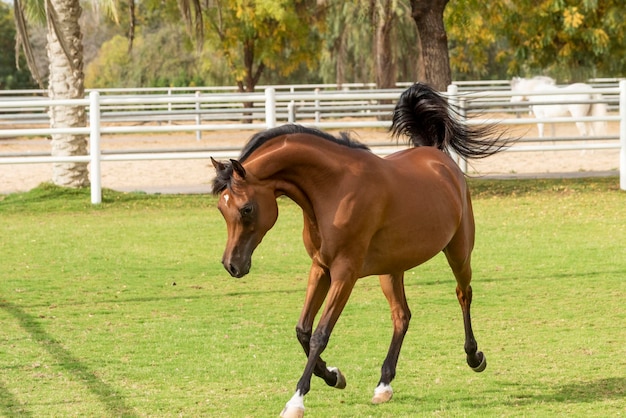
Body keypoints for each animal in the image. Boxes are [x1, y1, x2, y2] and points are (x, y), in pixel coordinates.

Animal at [212, 82, 510, 418]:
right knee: (401, 316)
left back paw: (474, 357)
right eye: (221, 209)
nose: (232, 265)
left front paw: (297, 399)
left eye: (246, 209)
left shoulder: (345, 273)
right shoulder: (321, 268)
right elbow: (303, 329)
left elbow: (320, 334)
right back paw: (384, 385)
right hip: (391, 270)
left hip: (458, 252)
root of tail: (436, 156)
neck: (335, 188)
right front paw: (333, 376)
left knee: (463, 294)